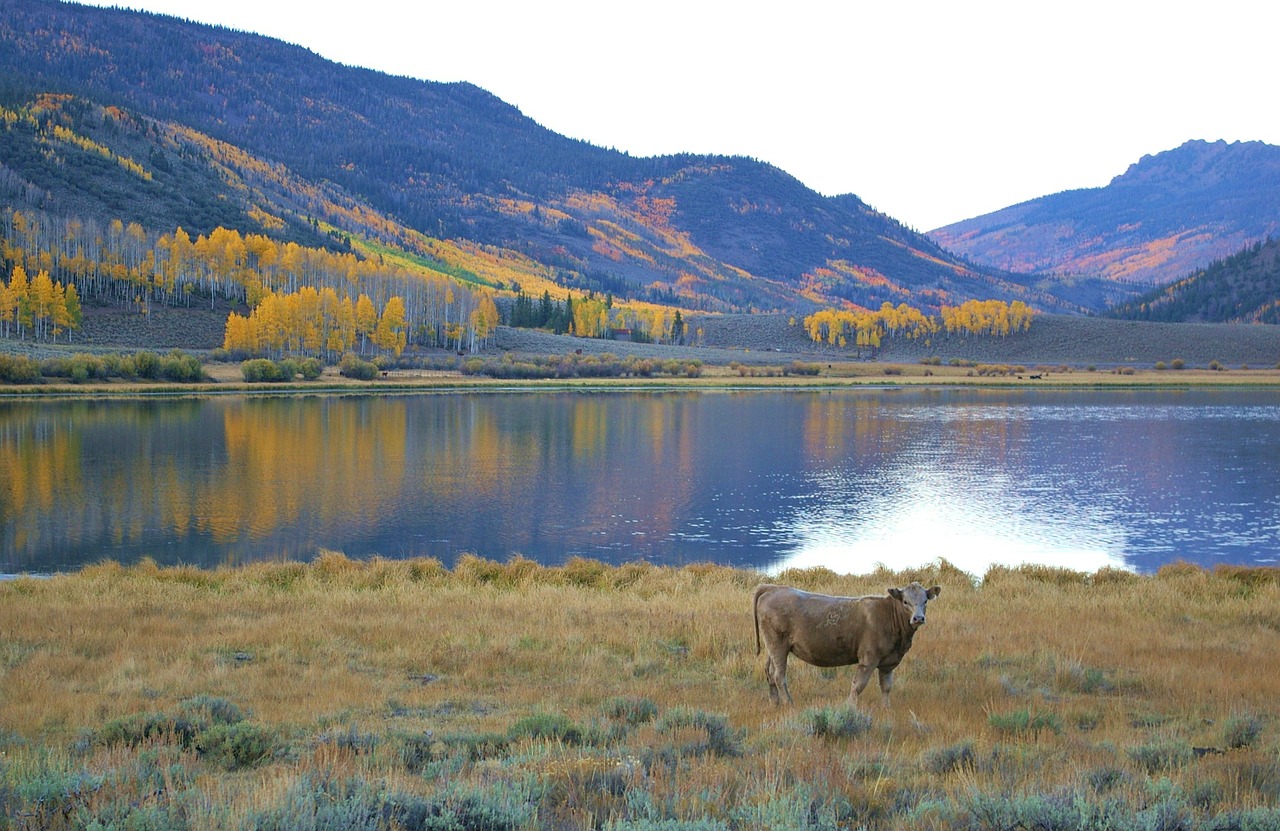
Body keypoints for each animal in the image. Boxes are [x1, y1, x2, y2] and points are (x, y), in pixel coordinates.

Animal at [747, 583, 942, 706]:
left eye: (925, 601)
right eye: (905, 601)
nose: (918, 618)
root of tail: (773, 588)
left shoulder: (888, 663)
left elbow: (886, 687)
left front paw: (886, 709)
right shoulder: (868, 659)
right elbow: (858, 686)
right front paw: (850, 708)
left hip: (773, 647)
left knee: (769, 672)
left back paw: (775, 703)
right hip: (778, 645)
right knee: (779, 675)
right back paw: (789, 703)